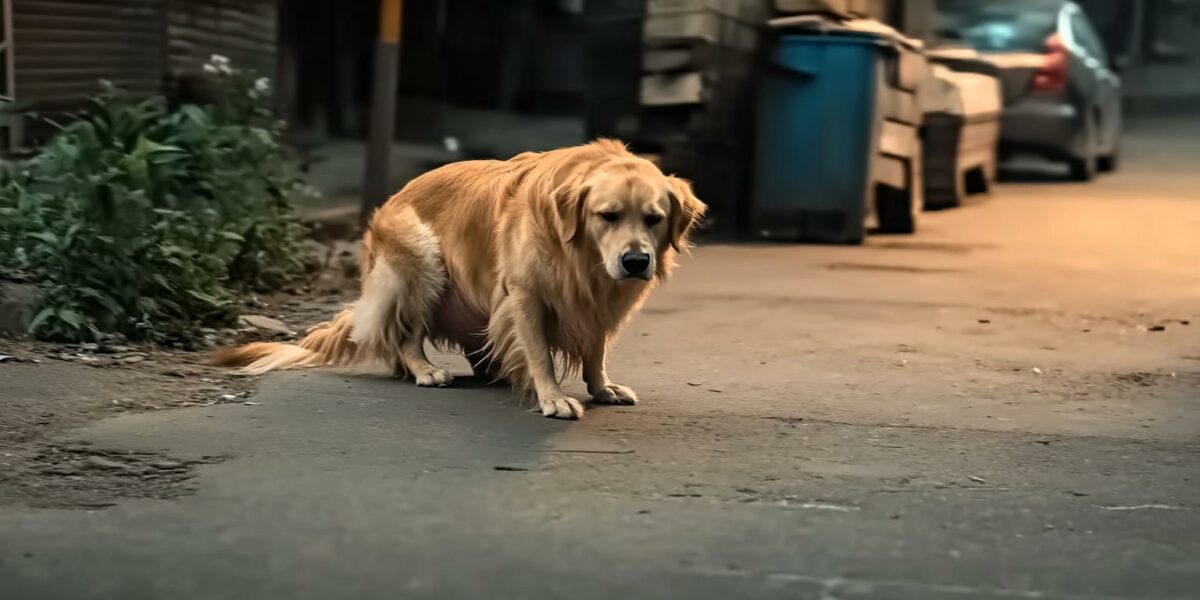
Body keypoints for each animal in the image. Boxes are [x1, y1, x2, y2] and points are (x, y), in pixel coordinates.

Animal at [213, 141, 700, 422]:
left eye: (654, 219)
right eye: (608, 215)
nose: (636, 262)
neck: (581, 257)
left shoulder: (598, 301)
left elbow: (595, 350)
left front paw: (602, 387)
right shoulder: (524, 294)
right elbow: (540, 353)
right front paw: (553, 396)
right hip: (423, 259)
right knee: (405, 337)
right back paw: (426, 370)